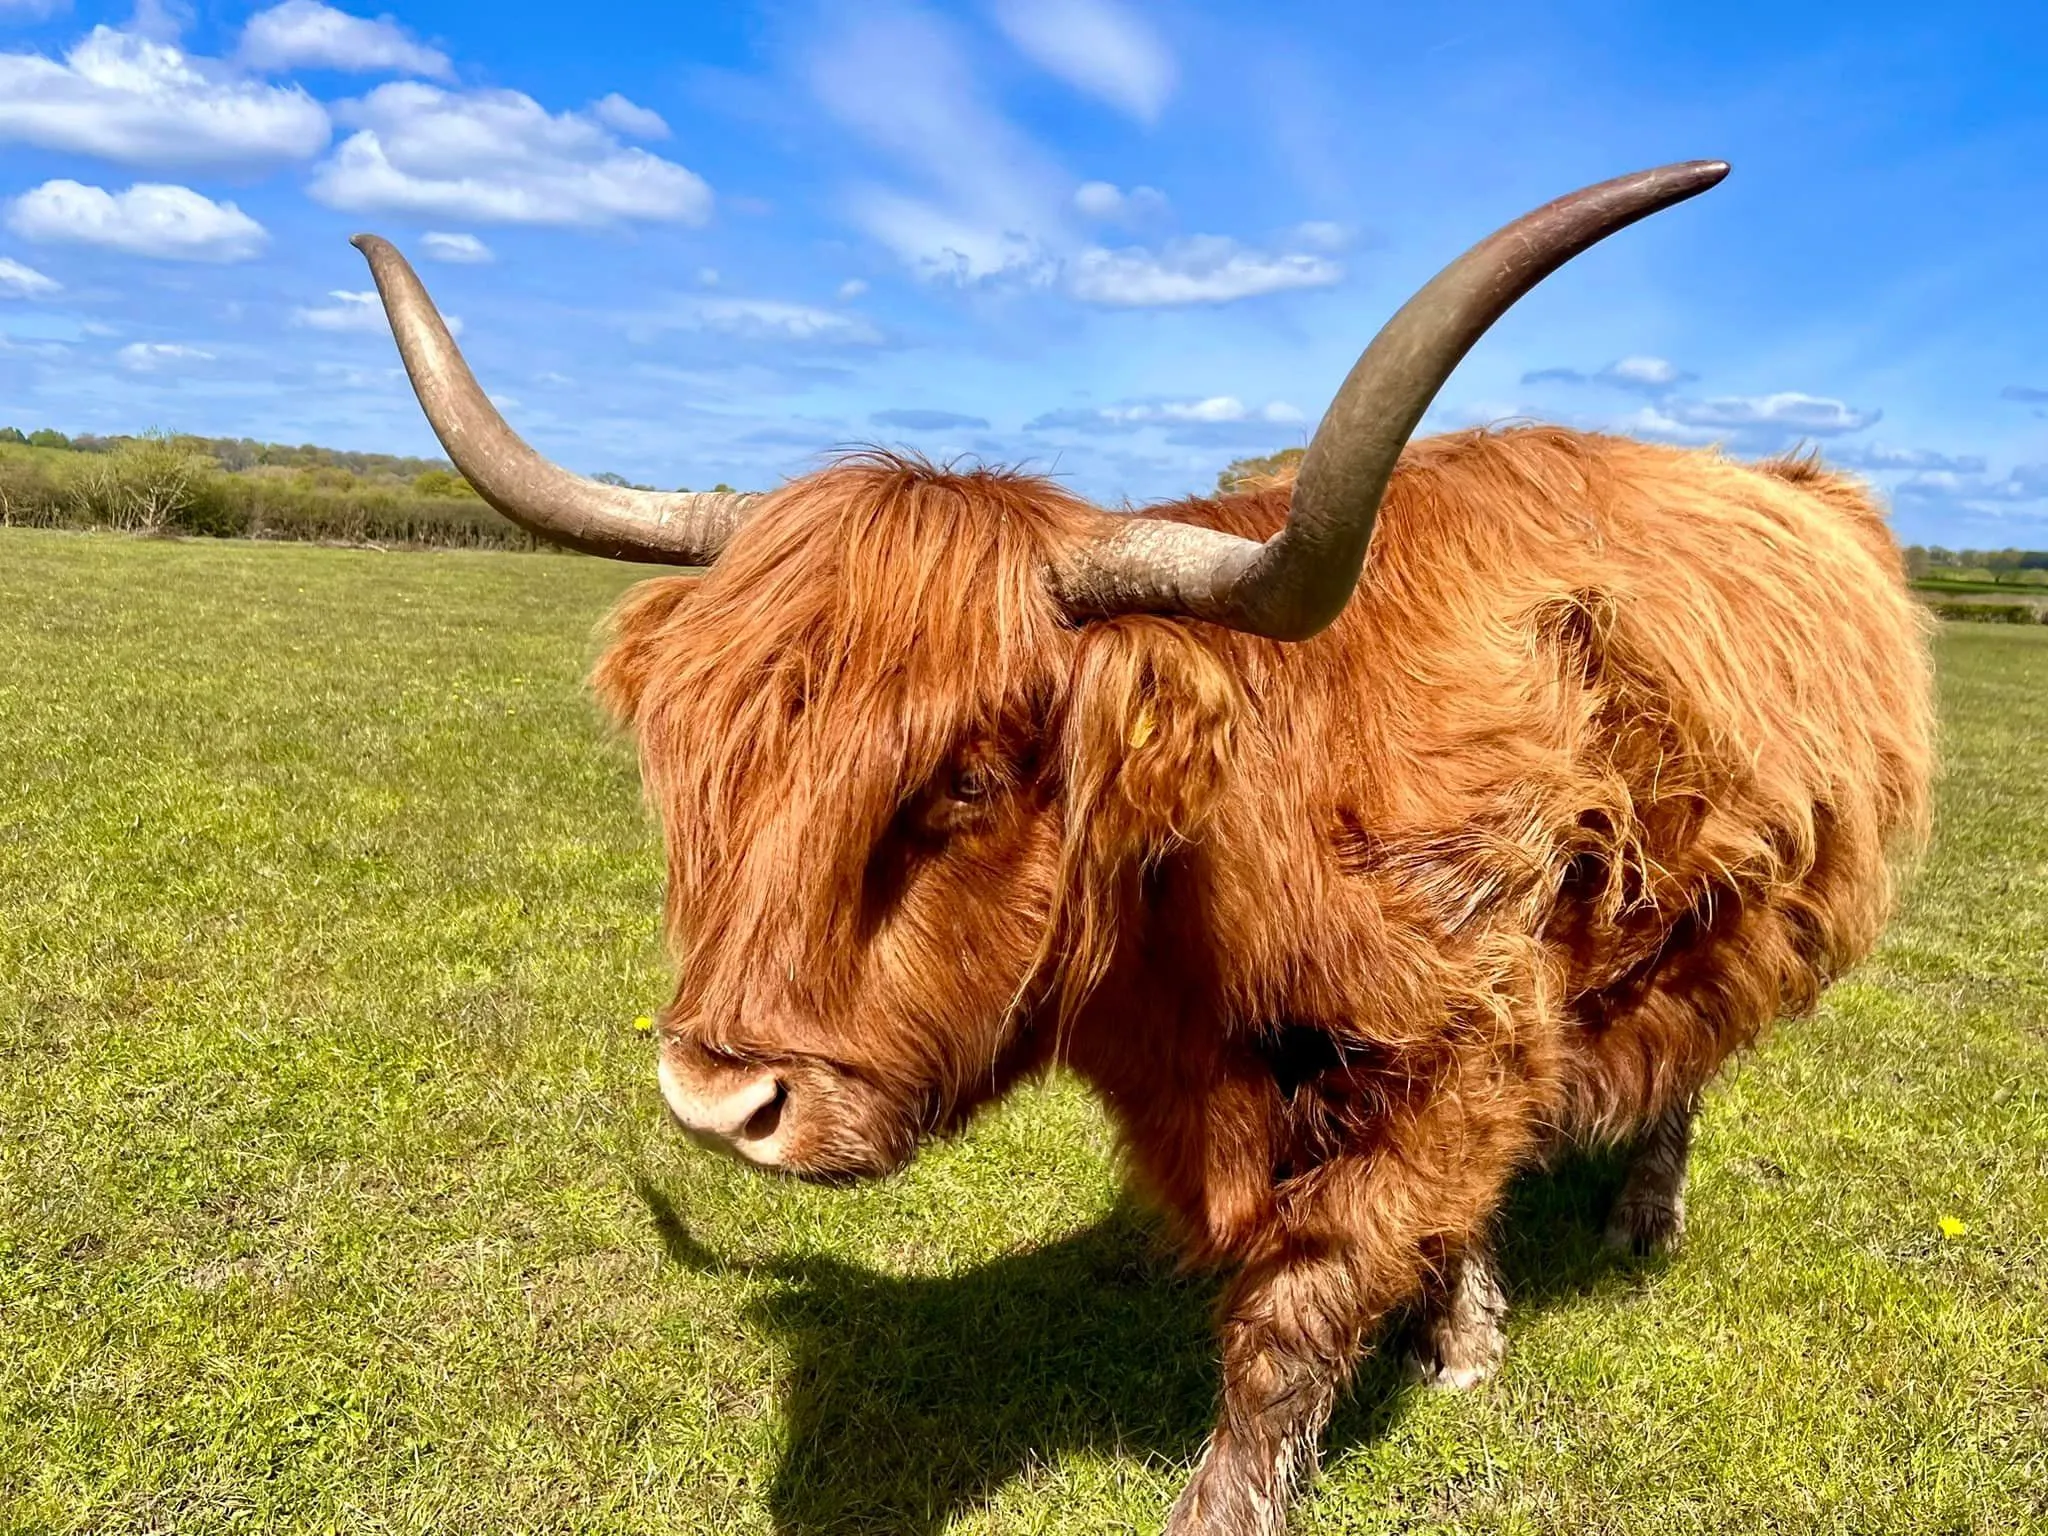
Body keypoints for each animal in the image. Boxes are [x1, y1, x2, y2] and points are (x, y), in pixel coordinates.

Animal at [354, 162, 1935, 1534]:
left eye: (967, 780)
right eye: (707, 759)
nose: (713, 1101)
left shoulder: (1451, 1053)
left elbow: (1293, 1325)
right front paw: (1457, 1332)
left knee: (1691, 1056)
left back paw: (1642, 1218)